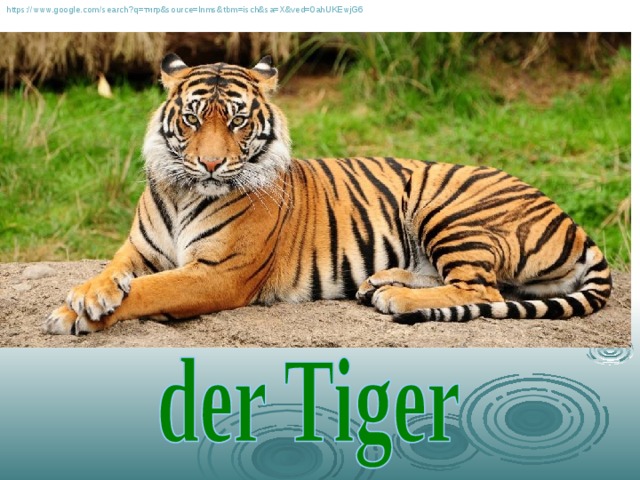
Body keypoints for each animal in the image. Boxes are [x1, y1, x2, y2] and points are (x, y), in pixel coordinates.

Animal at [44, 53, 612, 335]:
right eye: (192, 118)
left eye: (237, 121)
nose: (210, 163)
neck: (185, 192)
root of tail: (572, 220)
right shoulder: (138, 249)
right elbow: (113, 274)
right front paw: (85, 297)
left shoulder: (219, 273)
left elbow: (151, 290)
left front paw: (76, 314)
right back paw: (380, 282)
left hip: (449, 208)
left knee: (484, 290)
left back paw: (396, 297)